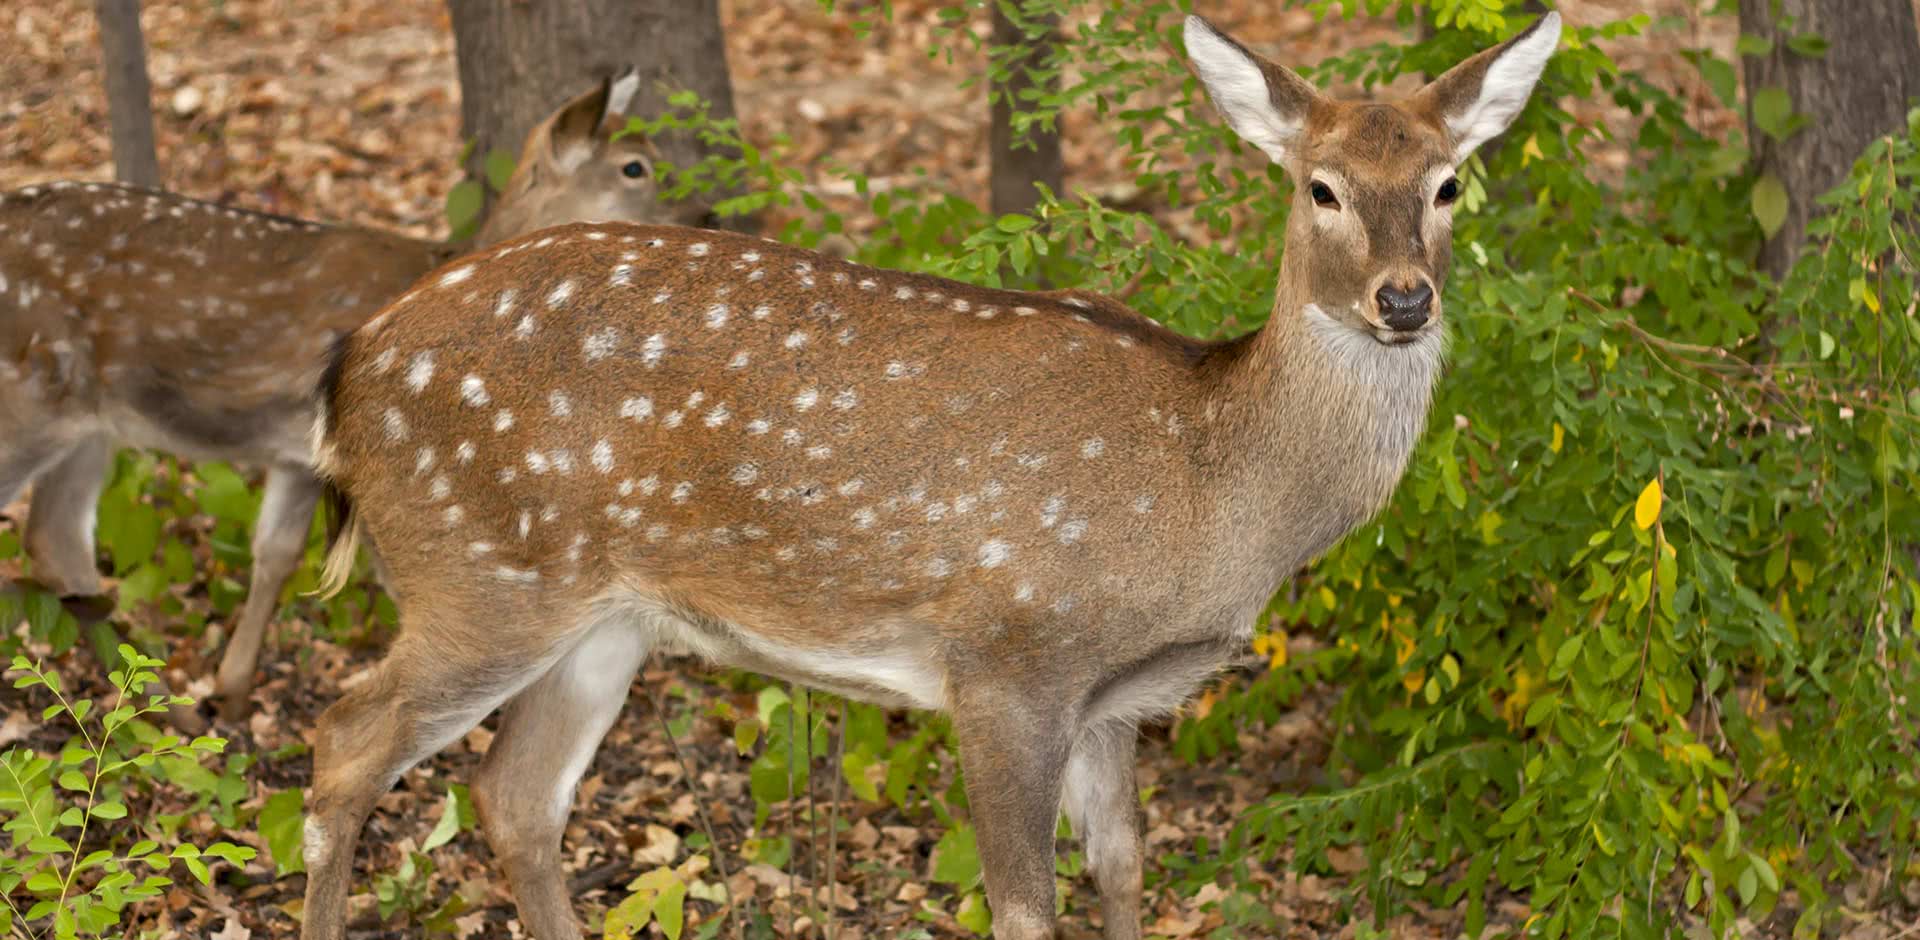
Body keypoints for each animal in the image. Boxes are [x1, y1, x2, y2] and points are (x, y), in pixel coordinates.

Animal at [0, 69, 698, 721]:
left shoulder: (297, 455)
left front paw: (230, 690)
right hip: (31, 394)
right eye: (635, 167)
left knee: (55, 539)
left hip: (90, 423)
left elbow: (276, 555)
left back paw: (159, 697)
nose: (703, 218)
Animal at [303, 12, 1559, 940]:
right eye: (1321, 188)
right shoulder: (1007, 654)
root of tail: (348, 368)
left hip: (603, 615)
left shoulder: (1116, 699)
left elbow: (1124, 871)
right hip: (479, 568)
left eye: (1449, 184)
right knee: (346, 742)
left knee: (517, 794)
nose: (1404, 297)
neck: (1214, 485)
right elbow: (1024, 908)